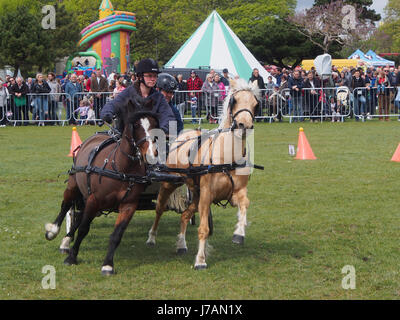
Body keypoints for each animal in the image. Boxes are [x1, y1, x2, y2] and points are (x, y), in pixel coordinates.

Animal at [46, 96, 165, 274]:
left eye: (154, 124)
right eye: (136, 125)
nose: (151, 154)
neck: (121, 167)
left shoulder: (129, 205)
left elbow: (116, 234)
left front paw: (108, 264)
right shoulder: (94, 200)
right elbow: (83, 229)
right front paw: (72, 257)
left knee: (79, 216)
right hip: (74, 187)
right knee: (66, 206)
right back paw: (55, 232)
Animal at [147, 79, 260, 268]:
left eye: (256, 103)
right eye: (234, 100)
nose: (244, 125)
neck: (227, 157)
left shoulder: (236, 192)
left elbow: (245, 204)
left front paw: (239, 233)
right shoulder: (207, 195)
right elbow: (204, 229)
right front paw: (200, 260)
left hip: (196, 194)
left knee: (185, 215)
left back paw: (181, 245)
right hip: (170, 183)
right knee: (159, 209)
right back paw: (152, 237)